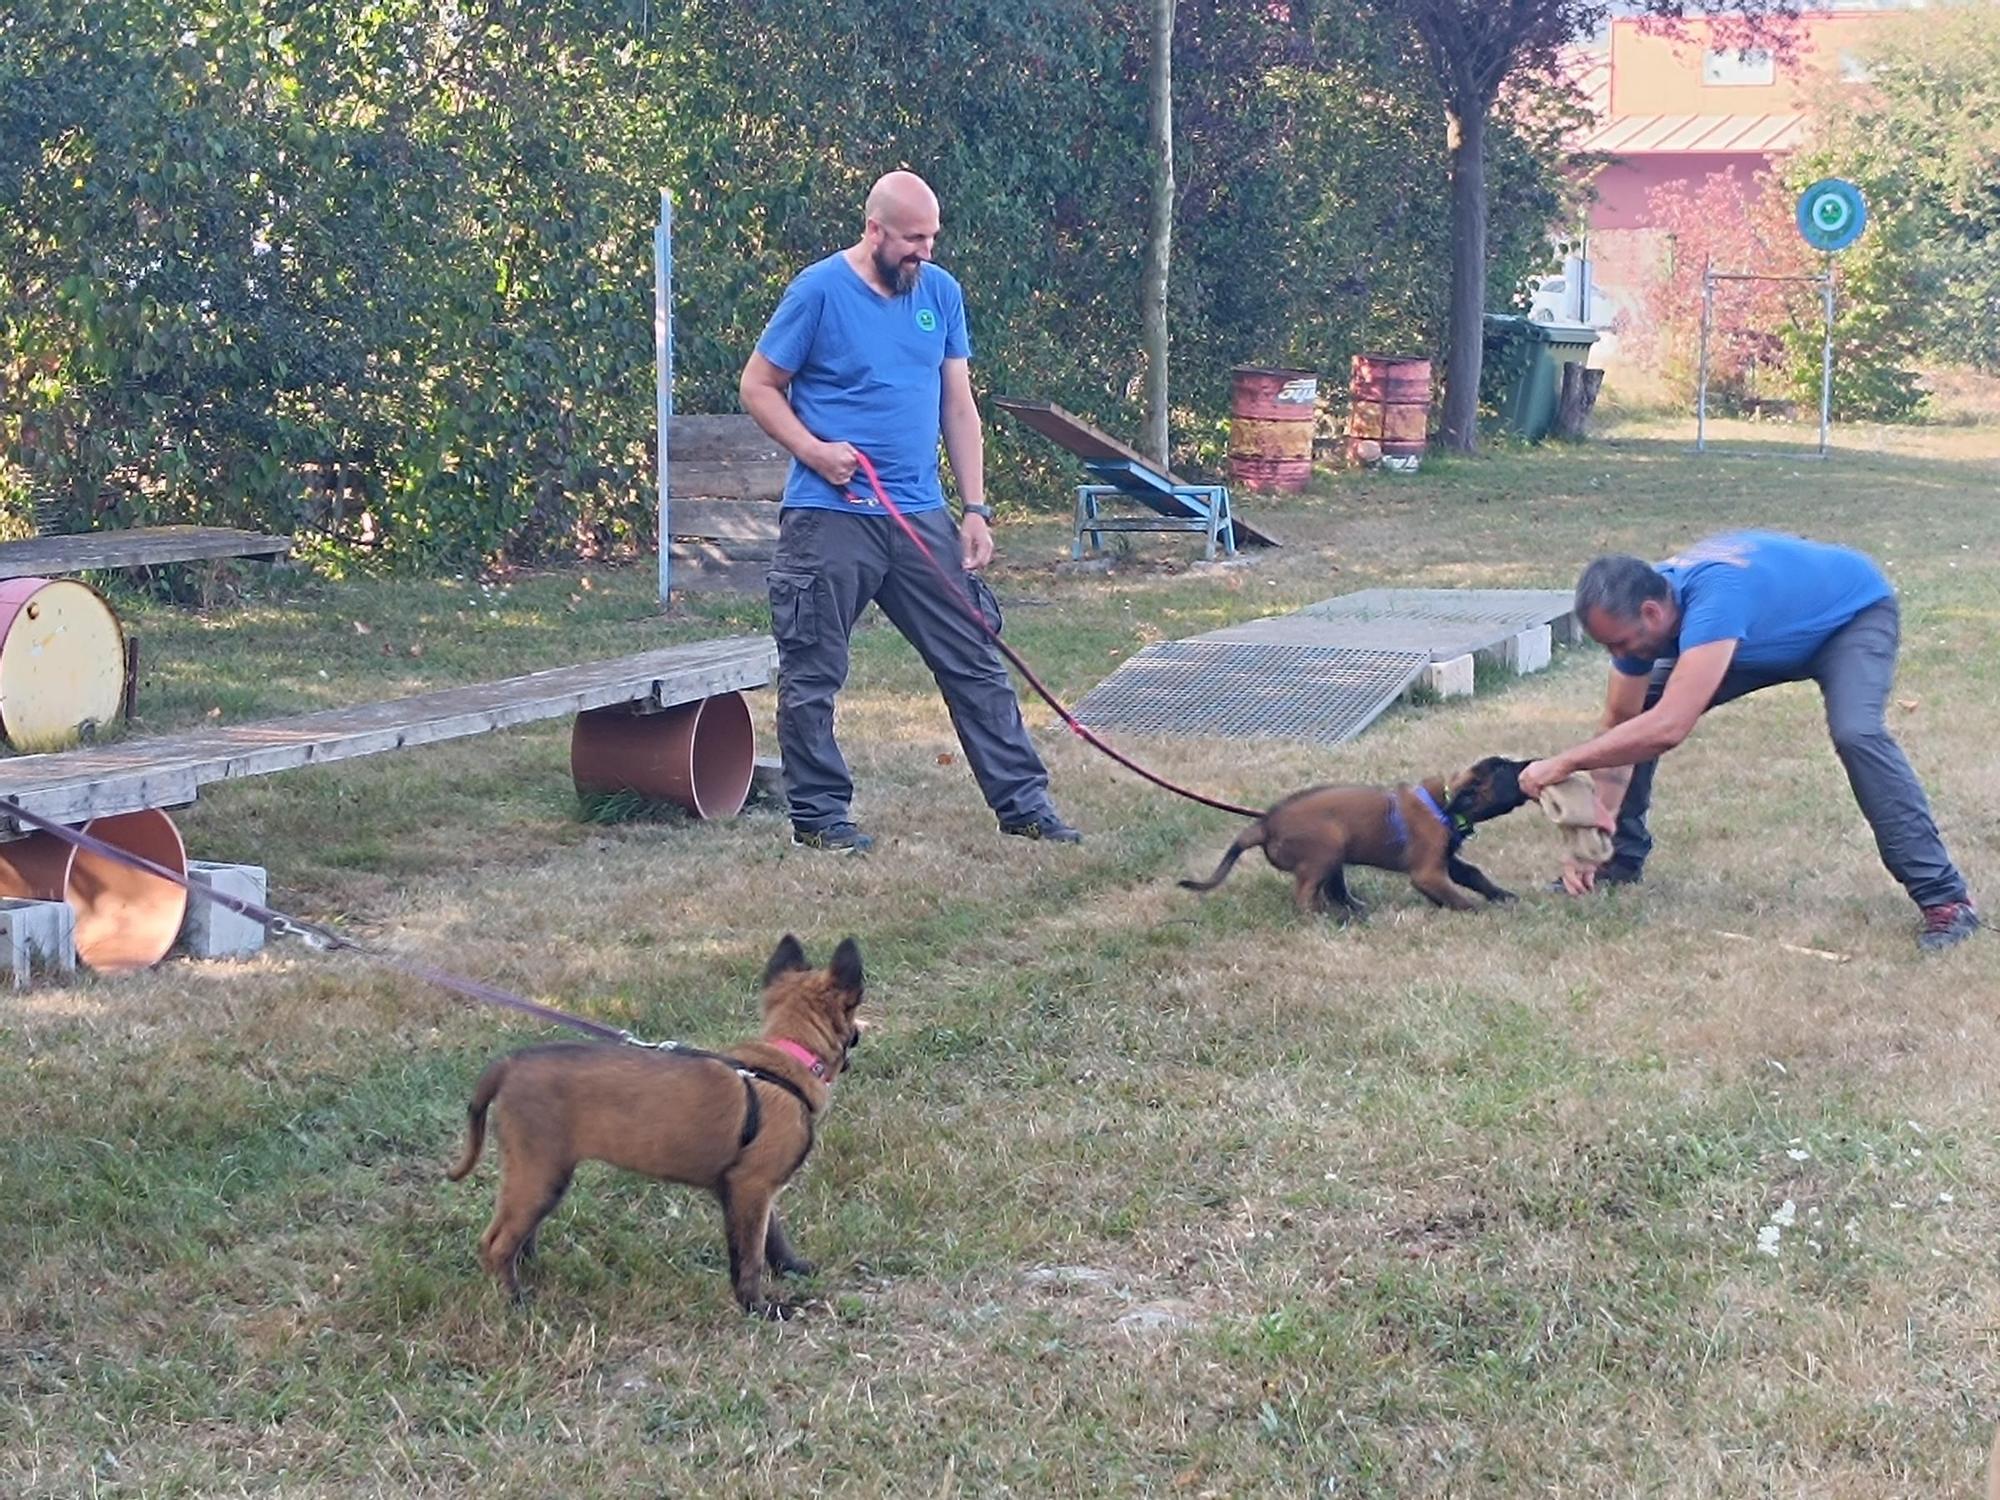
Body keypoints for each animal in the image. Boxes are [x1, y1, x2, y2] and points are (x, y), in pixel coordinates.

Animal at [450, 936, 864, 1320]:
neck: (787, 1060)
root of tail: (509, 1064)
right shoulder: (752, 1187)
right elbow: (749, 1256)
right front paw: (759, 1307)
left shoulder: (753, 1189)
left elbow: (772, 1237)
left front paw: (792, 1268)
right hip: (541, 1172)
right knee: (496, 1243)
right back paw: (515, 1302)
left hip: (540, 1174)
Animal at [1184, 756, 1528, 924]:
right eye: (1503, 768)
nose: (1530, 762)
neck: (1443, 806)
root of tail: (1265, 824)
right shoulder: (1428, 872)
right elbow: (1459, 898)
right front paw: (1479, 913)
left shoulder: (1446, 860)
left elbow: (1473, 875)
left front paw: (1501, 896)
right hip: (1327, 847)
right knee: (1305, 895)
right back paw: (1330, 920)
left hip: (1335, 853)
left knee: (1333, 890)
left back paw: (1354, 912)